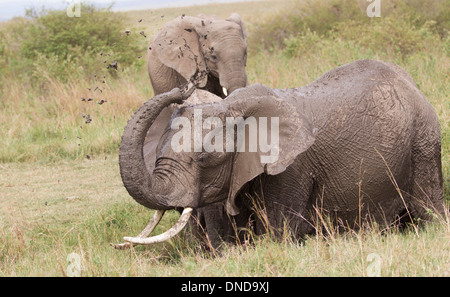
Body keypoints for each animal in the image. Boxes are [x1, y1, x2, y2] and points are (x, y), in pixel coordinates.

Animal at [114, 58, 444, 247]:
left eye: (205, 159)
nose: (189, 83)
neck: (232, 106)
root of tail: (409, 81)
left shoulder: (291, 168)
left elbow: (278, 234)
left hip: (424, 139)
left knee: (428, 205)